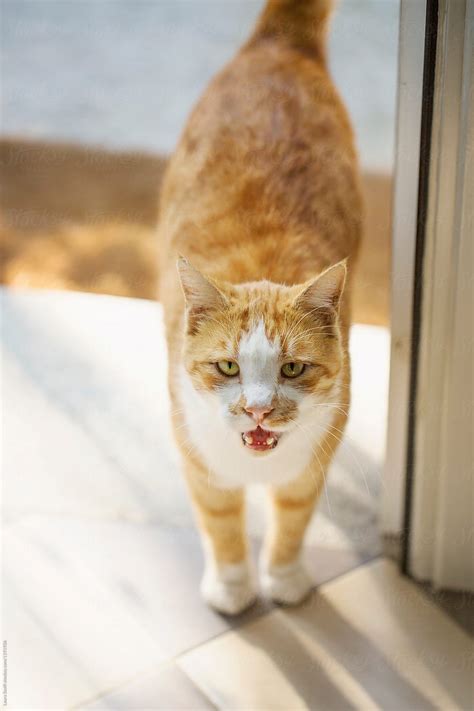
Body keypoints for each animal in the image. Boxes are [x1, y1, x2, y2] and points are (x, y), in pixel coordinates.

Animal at [157, 0, 362, 616]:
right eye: (227, 366)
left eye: (292, 367)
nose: (258, 409)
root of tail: (277, 46)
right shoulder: (199, 460)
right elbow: (221, 521)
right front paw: (231, 586)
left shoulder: (315, 459)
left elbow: (293, 518)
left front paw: (285, 578)